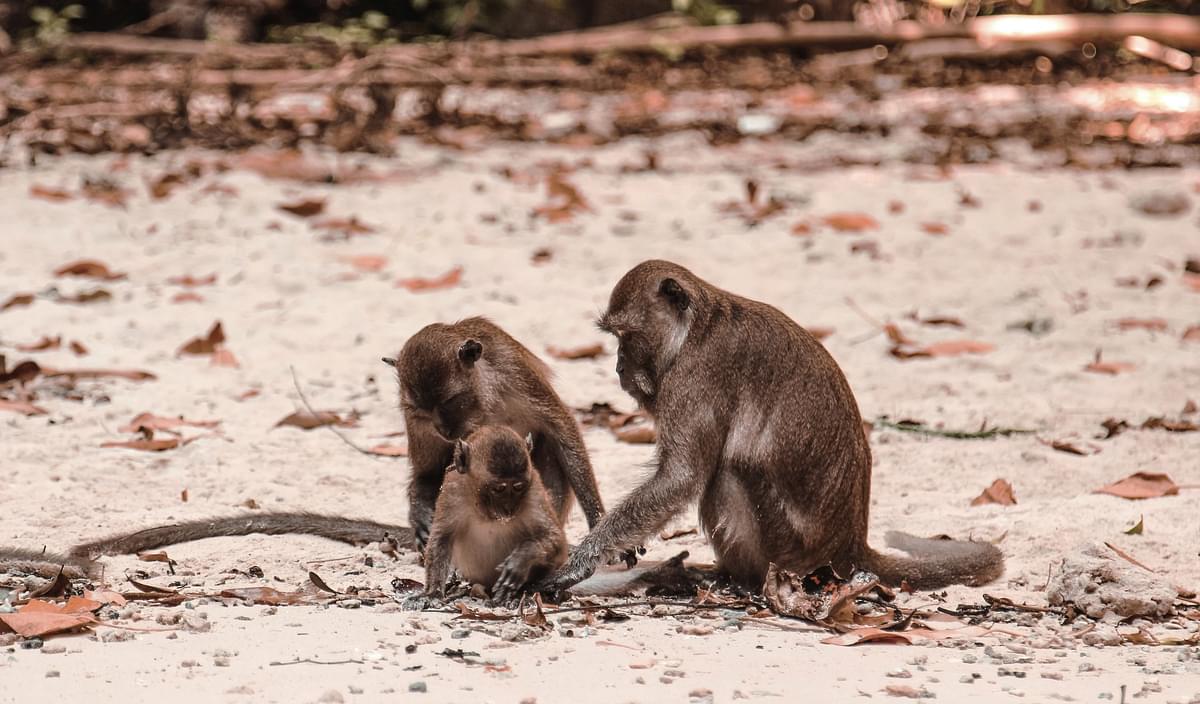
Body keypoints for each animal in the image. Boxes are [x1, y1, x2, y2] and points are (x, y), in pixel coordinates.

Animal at [427, 426, 566, 604]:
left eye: (518, 487)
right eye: (499, 488)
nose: (509, 508)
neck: (484, 511)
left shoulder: (534, 489)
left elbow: (556, 539)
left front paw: (521, 559)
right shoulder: (452, 490)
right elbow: (441, 538)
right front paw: (433, 592)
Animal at [540, 261, 998, 592]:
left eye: (627, 336)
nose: (618, 366)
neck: (698, 326)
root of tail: (850, 546)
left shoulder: (695, 378)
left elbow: (682, 477)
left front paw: (584, 559)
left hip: (790, 550)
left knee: (728, 473)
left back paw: (743, 581)